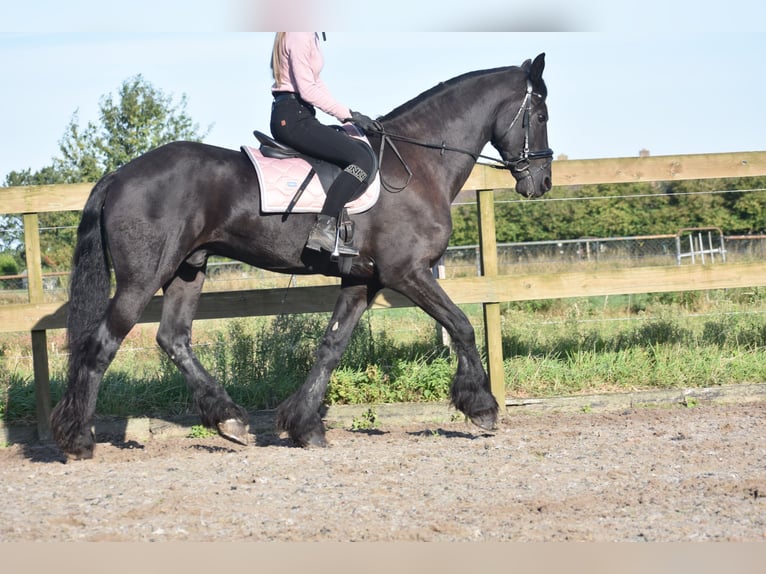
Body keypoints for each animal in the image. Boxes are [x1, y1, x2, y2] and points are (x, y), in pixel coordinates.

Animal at [51, 53, 556, 460]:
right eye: (539, 112)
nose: (542, 183)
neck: (417, 165)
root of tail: (119, 175)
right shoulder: (406, 272)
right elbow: (462, 325)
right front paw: (482, 408)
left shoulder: (363, 280)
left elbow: (331, 347)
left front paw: (303, 425)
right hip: (143, 277)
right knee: (101, 345)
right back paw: (77, 441)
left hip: (187, 270)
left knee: (173, 338)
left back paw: (230, 420)